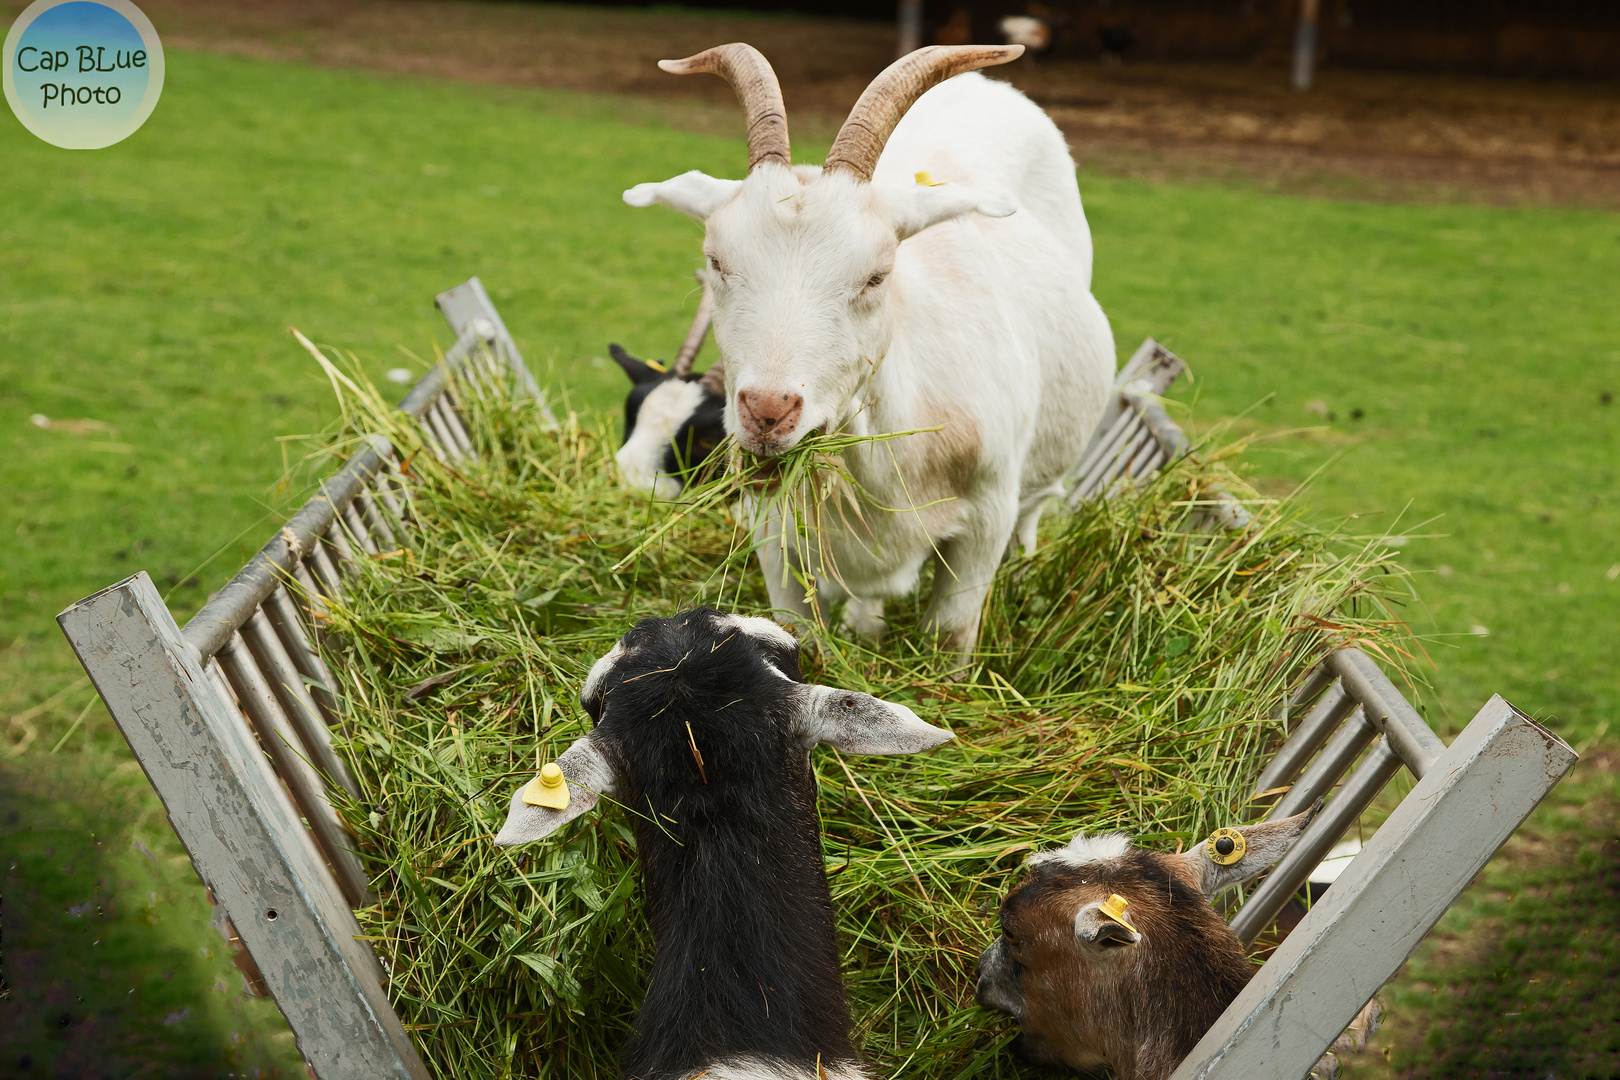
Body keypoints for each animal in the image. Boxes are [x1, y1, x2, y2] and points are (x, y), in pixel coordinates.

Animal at [625, 44, 1121, 650]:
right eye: (717, 262)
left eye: (877, 276)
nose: (767, 412)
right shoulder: (775, 533)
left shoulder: (985, 522)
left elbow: (952, 637)